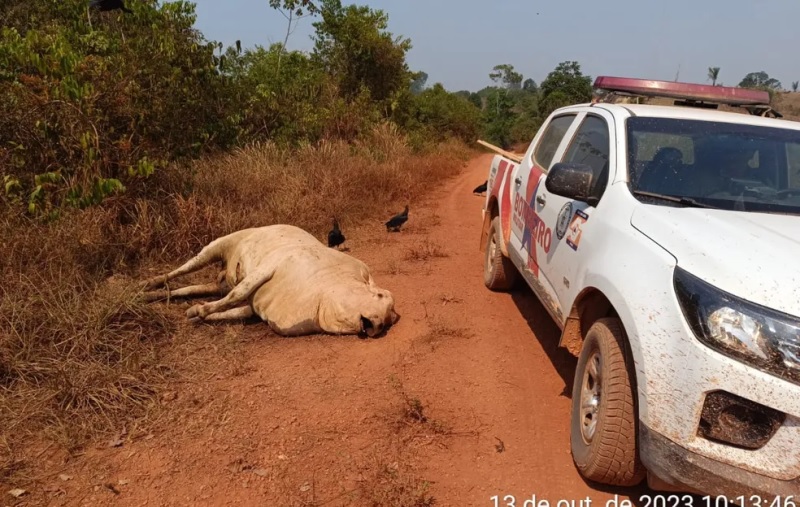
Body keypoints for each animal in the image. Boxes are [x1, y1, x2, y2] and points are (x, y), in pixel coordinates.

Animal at [143, 225, 400, 338]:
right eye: (379, 296)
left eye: (389, 319)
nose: (380, 325)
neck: (324, 290)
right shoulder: (269, 266)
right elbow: (236, 295)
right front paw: (200, 310)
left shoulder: (254, 309)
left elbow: (230, 309)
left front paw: (195, 314)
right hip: (217, 246)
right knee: (183, 270)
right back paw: (149, 283)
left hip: (219, 281)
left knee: (189, 289)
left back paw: (151, 295)